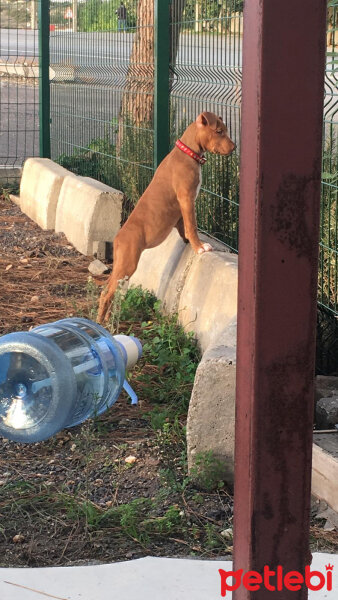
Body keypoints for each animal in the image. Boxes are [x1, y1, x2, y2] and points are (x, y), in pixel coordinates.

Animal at [97, 110, 235, 322]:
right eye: (219, 131)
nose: (234, 148)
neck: (188, 152)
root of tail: (118, 238)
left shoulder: (180, 210)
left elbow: (184, 226)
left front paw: (188, 241)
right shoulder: (186, 199)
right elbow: (192, 225)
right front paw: (200, 247)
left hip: (121, 267)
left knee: (106, 290)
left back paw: (104, 321)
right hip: (128, 264)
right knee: (106, 294)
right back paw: (102, 323)